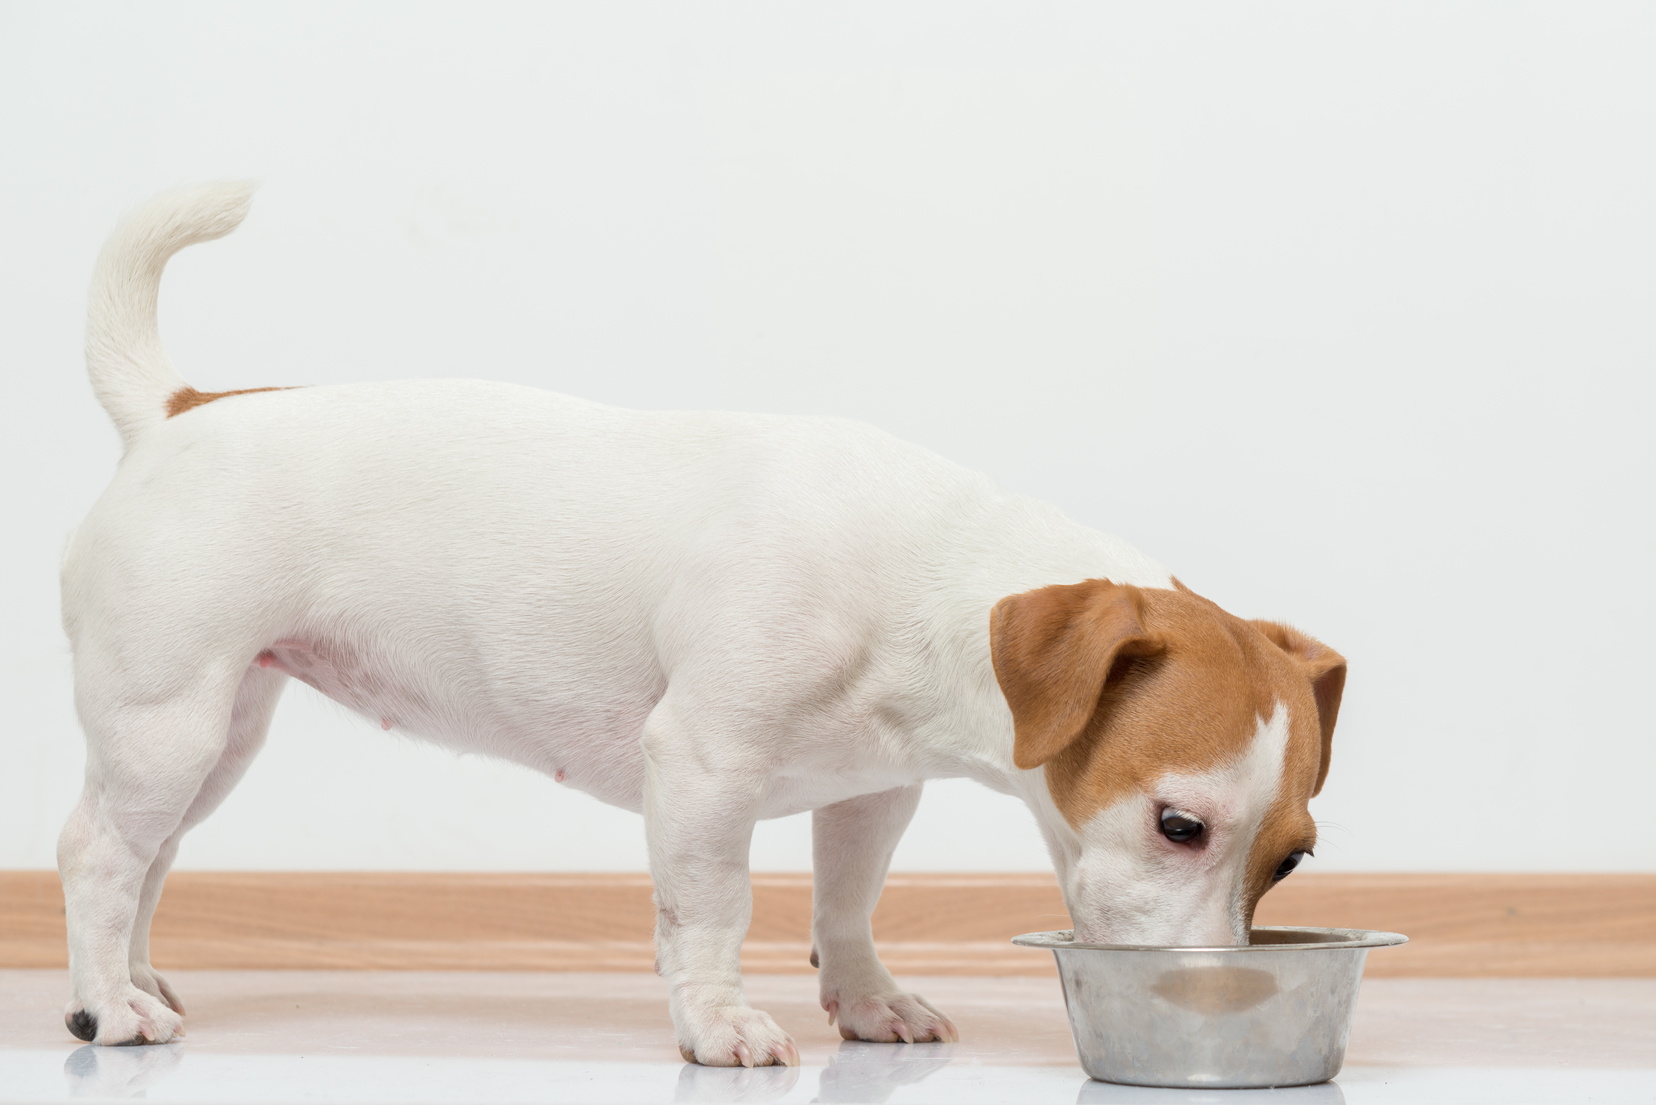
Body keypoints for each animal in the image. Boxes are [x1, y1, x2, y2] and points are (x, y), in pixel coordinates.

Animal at [55, 185, 1344, 1066]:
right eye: (1180, 825)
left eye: (1293, 856)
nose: (1216, 996)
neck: (924, 573)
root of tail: (179, 409)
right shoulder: (704, 770)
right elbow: (714, 909)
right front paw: (718, 1019)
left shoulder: (871, 794)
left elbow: (845, 904)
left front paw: (866, 997)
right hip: (168, 721)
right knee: (98, 856)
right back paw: (109, 1005)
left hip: (217, 738)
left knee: (138, 855)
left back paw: (127, 980)